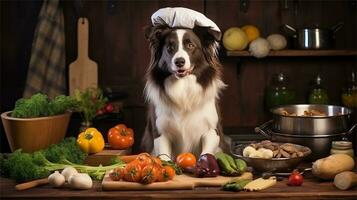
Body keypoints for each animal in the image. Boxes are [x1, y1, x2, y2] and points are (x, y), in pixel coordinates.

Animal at [140, 25, 227, 159]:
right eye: (169, 48)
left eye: (190, 45)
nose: (179, 61)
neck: (182, 88)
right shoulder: (160, 133)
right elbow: (164, 157)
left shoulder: (212, 131)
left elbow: (206, 153)